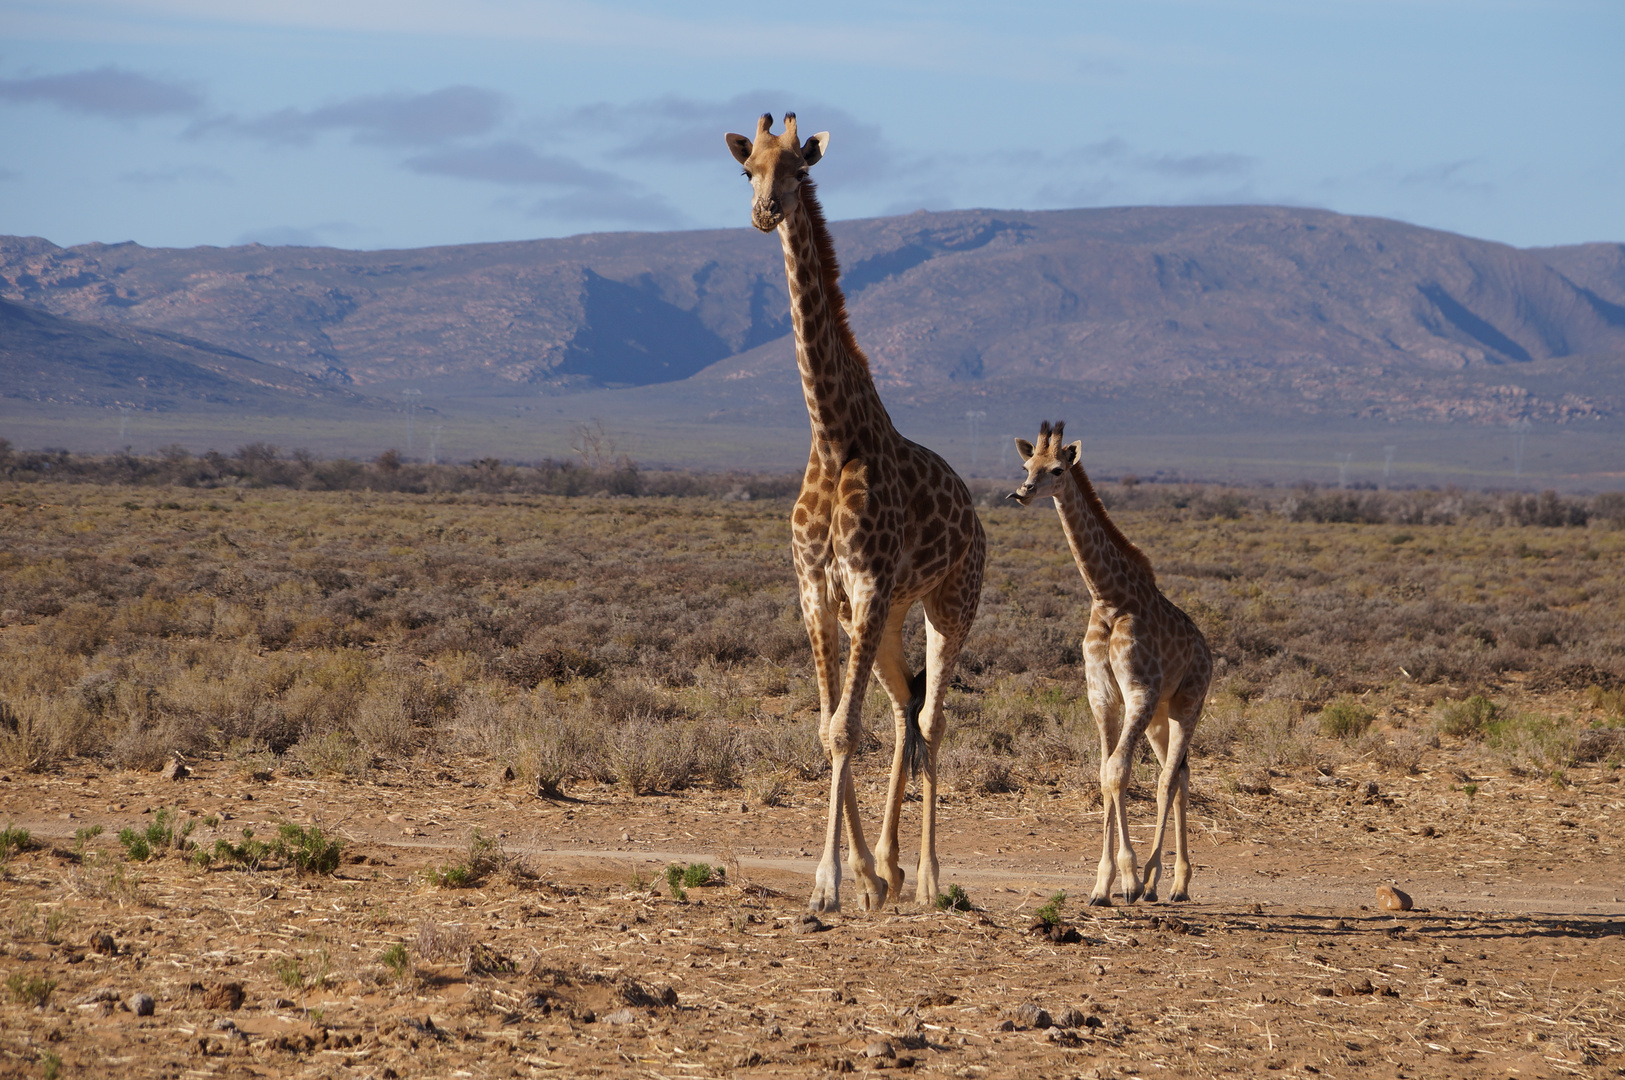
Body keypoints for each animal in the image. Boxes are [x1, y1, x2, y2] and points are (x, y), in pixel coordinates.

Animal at [728, 113, 981, 909]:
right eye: (748, 170)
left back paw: (927, 875)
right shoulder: (818, 591)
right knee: (903, 711)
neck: (833, 434)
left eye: (799, 170)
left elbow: (845, 729)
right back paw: (892, 869)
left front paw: (829, 885)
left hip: (948, 602)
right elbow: (828, 726)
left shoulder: (867, 585)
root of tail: (976, 514)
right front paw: (861, 876)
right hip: (891, 614)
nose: (765, 212)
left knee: (932, 716)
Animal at [1007, 422, 1215, 902]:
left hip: (1186, 704)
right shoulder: (1102, 696)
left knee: (1168, 779)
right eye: (1026, 466)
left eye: (1057, 469)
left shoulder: (1139, 689)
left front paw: (1130, 878)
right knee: (1181, 776)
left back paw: (1158, 878)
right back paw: (1174, 883)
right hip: (1158, 716)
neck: (1107, 597)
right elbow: (1104, 774)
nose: (1022, 492)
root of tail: (1208, 651)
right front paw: (1103, 884)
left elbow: (1119, 772)